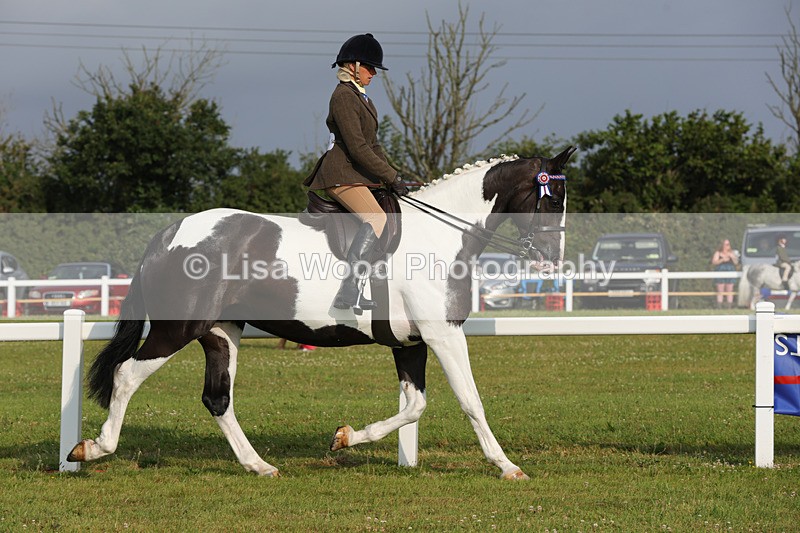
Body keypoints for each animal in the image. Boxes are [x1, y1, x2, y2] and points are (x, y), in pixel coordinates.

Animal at [67, 146, 576, 480]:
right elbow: (471, 400)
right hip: (178, 328)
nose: (551, 259)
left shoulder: (410, 341)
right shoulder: (443, 334)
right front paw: (507, 466)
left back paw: (259, 466)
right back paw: (92, 449)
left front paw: (345, 437)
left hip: (220, 332)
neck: (440, 236)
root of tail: (170, 234)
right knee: (127, 374)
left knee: (218, 398)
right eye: (551, 200)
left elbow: (414, 406)